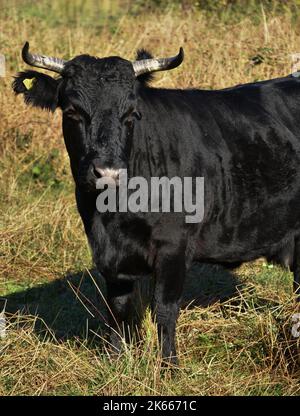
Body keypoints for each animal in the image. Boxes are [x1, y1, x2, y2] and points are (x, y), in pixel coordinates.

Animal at [12, 43, 300, 364]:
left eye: (131, 114)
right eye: (73, 111)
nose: (108, 173)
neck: (112, 215)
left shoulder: (173, 248)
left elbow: (164, 310)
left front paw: (168, 365)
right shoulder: (108, 254)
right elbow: (118, 309)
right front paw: (116, 359)